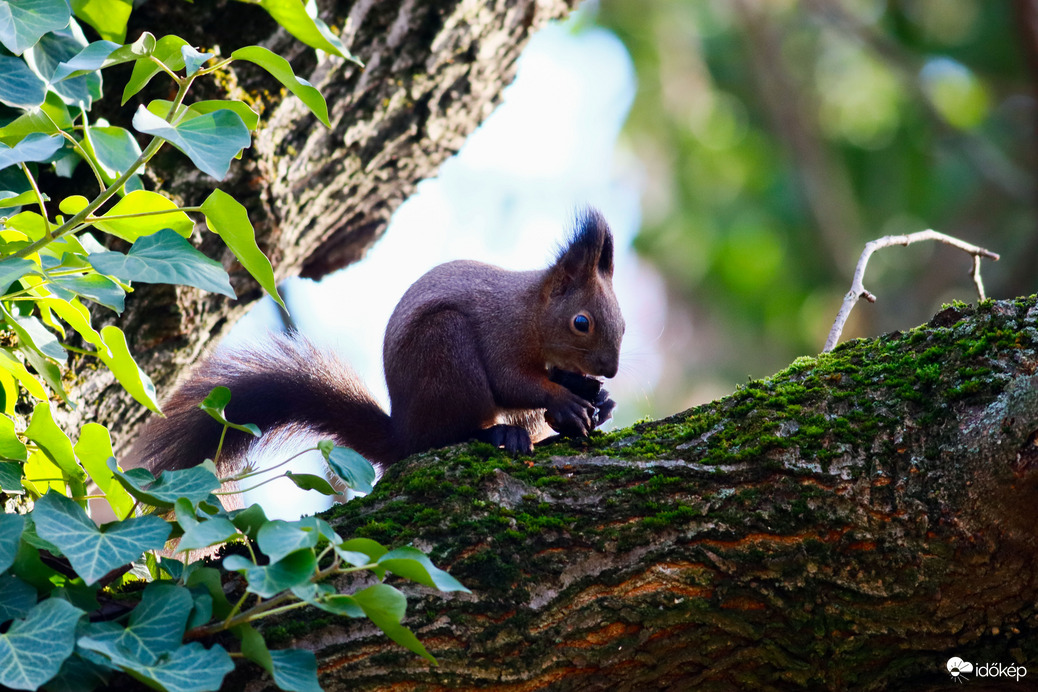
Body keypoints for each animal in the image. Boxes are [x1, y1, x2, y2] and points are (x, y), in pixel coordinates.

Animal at [134, 208, 626, 473]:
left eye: (622, 323)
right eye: (581, 322)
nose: (611, 369)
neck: (533, 315)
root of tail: (403, 430)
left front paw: (597, 397)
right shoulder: (502, 332)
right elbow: (513, 382)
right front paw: (567, 399)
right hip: (445, 353)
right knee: (447, 437)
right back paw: (499, 434)